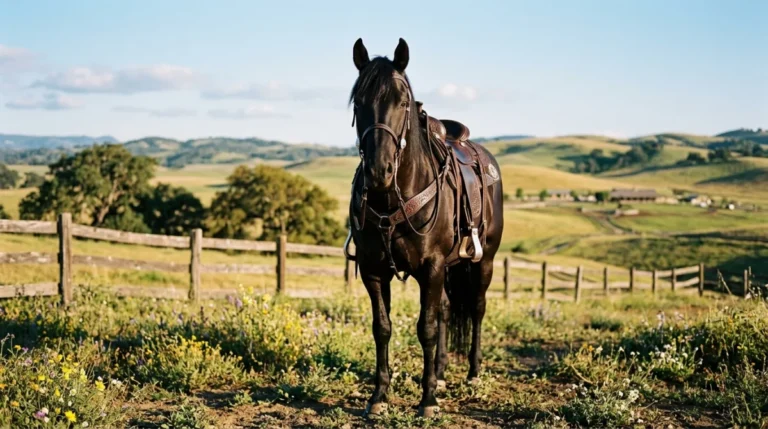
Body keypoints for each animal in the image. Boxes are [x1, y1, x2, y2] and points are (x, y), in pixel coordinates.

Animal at [344, 38, 504, 418]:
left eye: (402, 103)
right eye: (359, 102)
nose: (379, 171)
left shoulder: (430, 268)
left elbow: (426, 328)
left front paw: (428, 400)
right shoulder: (374, 270)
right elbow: (382, 328)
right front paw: (379, 396)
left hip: (485, 260)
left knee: (476, 308)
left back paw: (473, 373)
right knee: (446, 309)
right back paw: (443, 373)